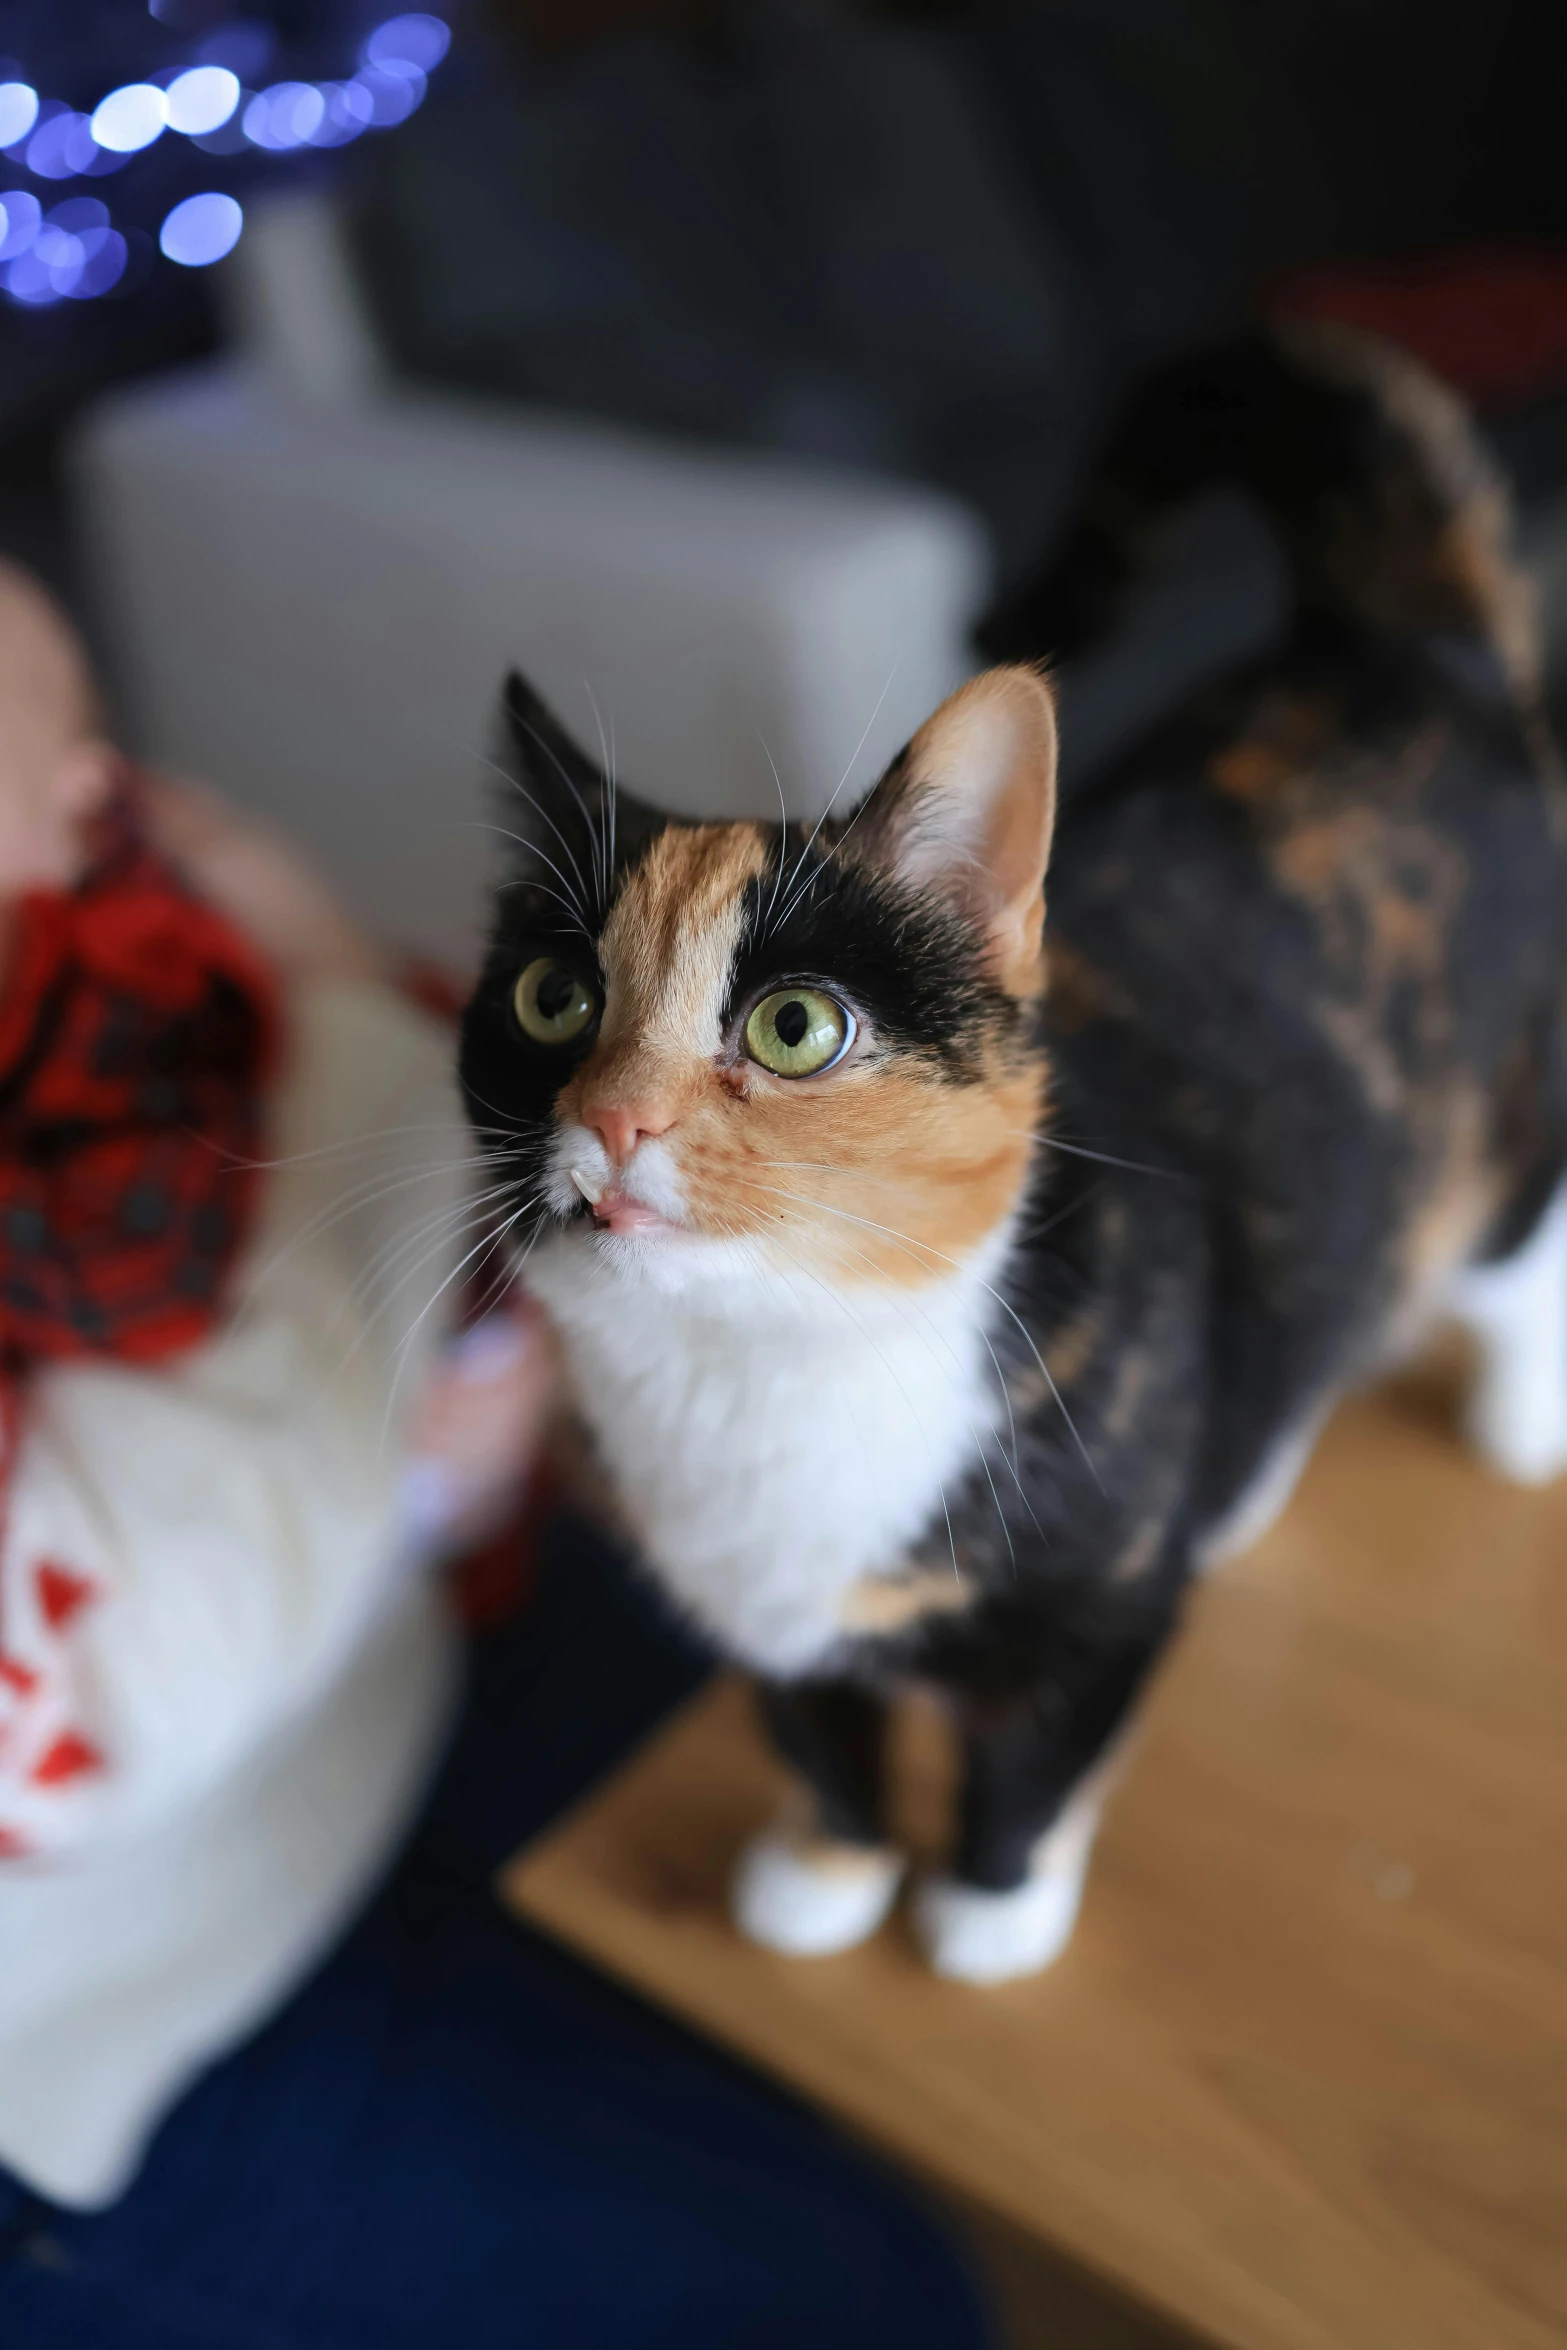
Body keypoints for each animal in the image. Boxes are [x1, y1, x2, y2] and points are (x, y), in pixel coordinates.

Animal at [460, 326, 1559, 1983]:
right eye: (550, 998)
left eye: (795, 1024)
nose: (610, 1120)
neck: (758, 1370)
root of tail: (1402, 658)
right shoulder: (753, 1610)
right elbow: (810, 1724)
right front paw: (826, 1869)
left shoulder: (1100, 1596)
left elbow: (1037, 1746)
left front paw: (986, 1910)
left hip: (1502, 1140)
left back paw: (1515, 1411)